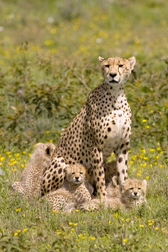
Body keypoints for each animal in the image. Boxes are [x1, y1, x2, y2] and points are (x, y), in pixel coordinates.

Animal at [41, 56, 136, 198]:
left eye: (120, 65)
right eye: (107, 66)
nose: (112, 75)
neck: (116, 95)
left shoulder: (122, 146)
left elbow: (123, 173)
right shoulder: (96, 146)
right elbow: (100, 176)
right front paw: (103, 198)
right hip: (59, 162)